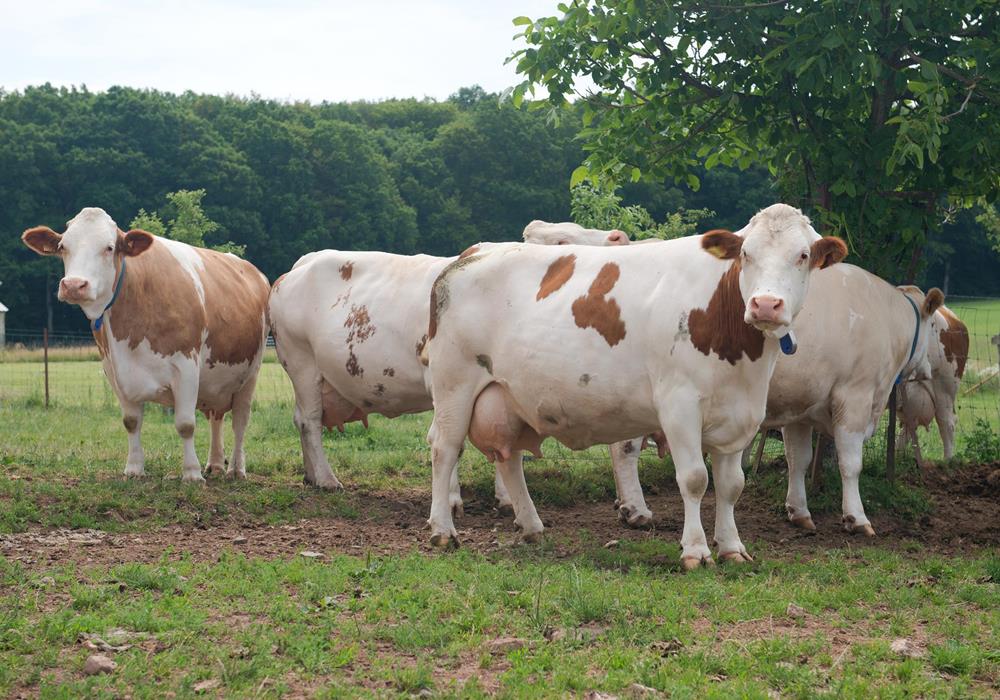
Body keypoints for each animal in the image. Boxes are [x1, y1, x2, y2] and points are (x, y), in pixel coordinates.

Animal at [22, 206, 270, 482]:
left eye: (109, 247)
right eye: (64, 246)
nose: (74, 285)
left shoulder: (186, 367)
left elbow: (185, 424)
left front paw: (191, 473)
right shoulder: (114, 371)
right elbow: (131, 422)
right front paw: (134, 469)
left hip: (250, 375)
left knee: (240, 421)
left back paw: (236, 469)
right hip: (215, 383)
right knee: (216, 417)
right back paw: (215, 464)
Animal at [266, 221, 640, 506]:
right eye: (562, 240)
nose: (618, 236)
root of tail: (303, 263)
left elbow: (505, 440)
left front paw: (506, 498)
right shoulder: (445, 379)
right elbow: (451, 439)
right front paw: (452, 498)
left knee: (302, 419)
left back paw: (311, 476)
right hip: (301, 362)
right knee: (310, 421)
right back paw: (327, 479)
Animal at [422, 204, 844, 568]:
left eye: (802, 255)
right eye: (746, 254)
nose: (765, 305)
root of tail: (468, 257)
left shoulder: (741, 413)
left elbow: (731, 486)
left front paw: (731, 548)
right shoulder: (678, 405)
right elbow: (695, 479)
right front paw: (696, 551)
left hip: (508, 397)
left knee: (508, 458)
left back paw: (531, 526)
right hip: (454, 385)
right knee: (444, 449)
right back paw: (442, 530)